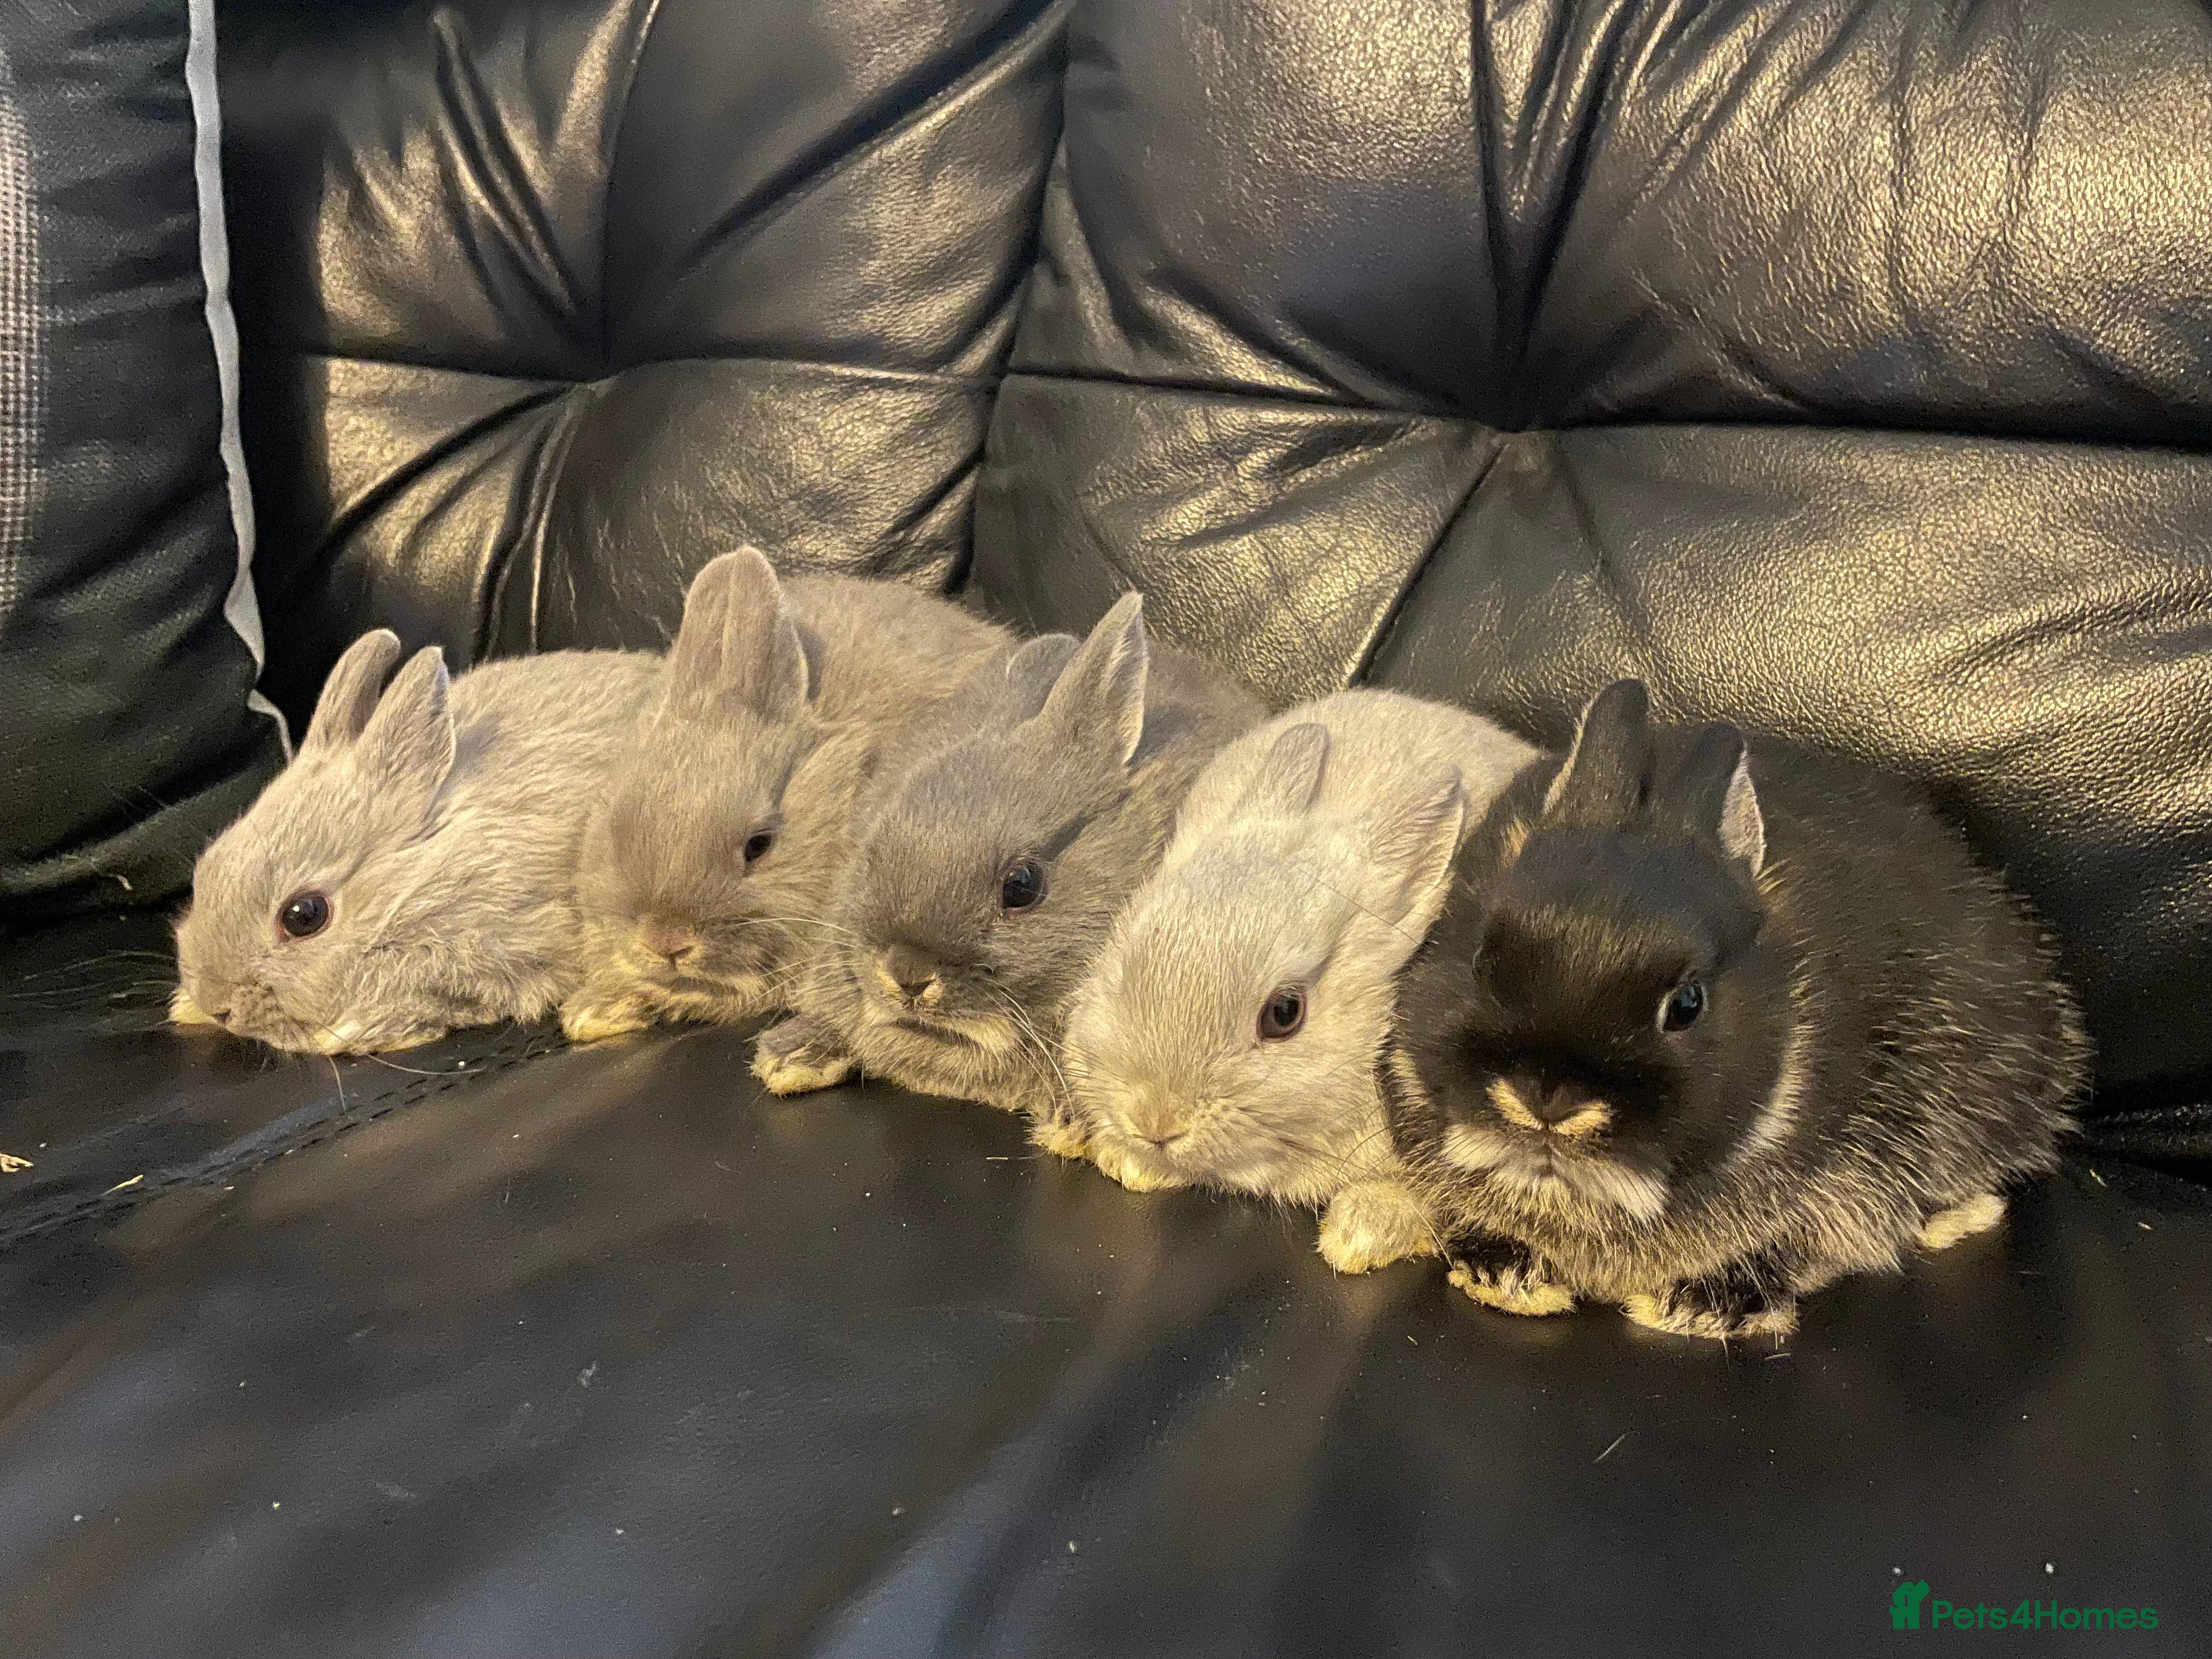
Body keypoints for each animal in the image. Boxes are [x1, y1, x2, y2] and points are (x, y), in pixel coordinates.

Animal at [171, 632, 664, 1054]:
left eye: (304, 916)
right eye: (204, 871)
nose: (217, 1005)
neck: (419, 882)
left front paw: (345, 1033)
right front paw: (184, 1008)